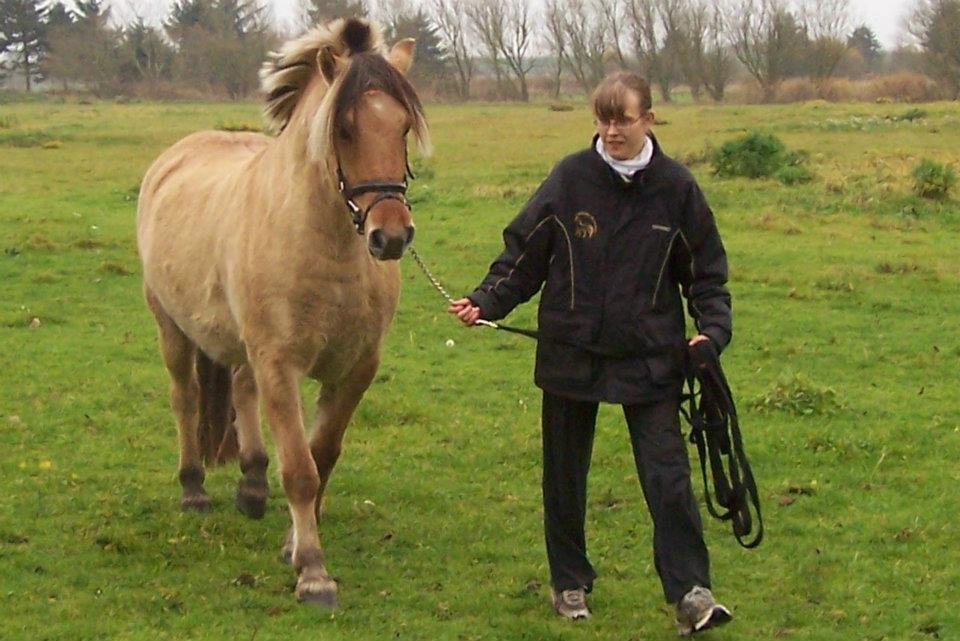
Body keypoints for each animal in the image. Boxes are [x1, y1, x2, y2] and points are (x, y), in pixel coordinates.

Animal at [137, 16, 430, 604]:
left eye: (404, 127)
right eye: (343, 129)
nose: (390, 236)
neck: (325, 246)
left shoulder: (355, 370)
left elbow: (322, 457)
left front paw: (294, 545)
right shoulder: (281, 364)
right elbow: (299, 469)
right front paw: (313, 572)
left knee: (241, 389)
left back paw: (251, 485)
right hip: (172, 328)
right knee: (186, 398)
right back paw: (193, 489)